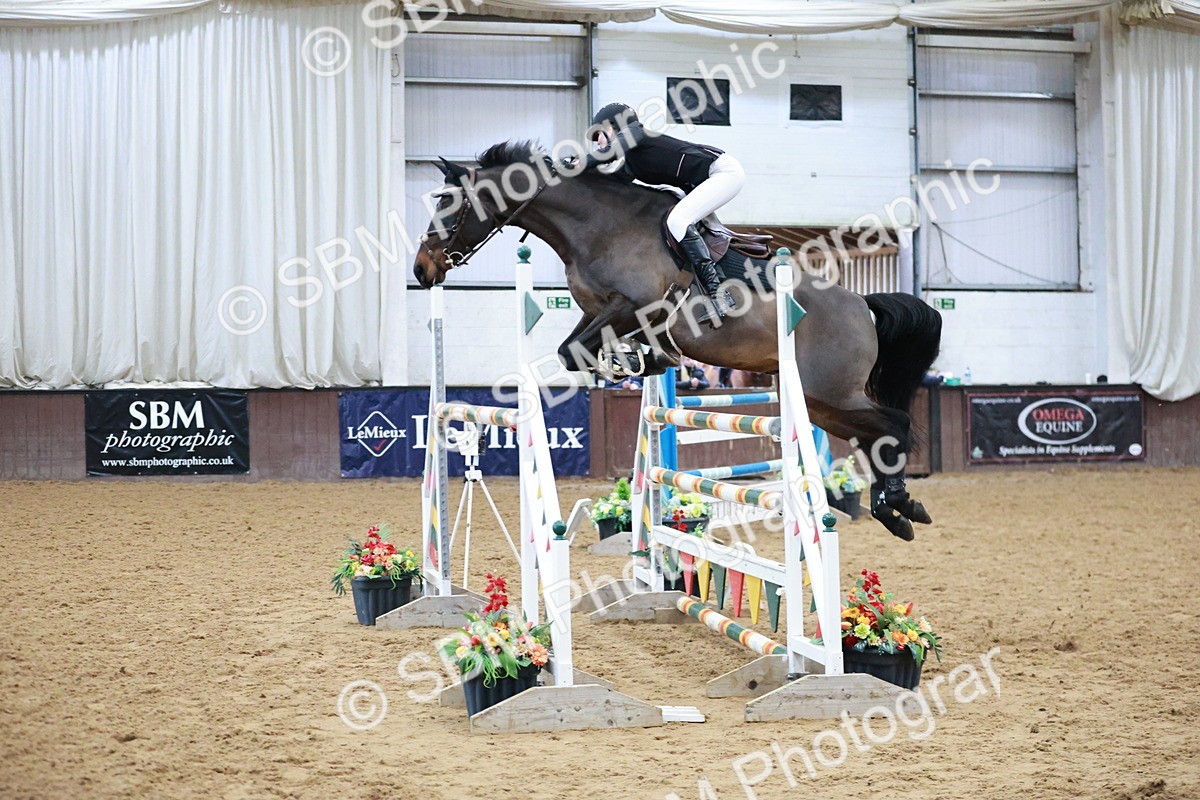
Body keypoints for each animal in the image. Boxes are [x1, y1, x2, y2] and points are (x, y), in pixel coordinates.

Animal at [412, 141, 942, 542]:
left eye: (450, 205)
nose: (421, 270)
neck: (597, 227)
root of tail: (862, 306)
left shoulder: (633, 305)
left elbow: (579, 350)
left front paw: (630, 362)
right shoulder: (599, 313)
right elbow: (576, 350)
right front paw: (637, 361)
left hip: (828, 390)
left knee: (891, 423)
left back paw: (898, 506)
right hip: (821, 401)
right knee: (873, 435)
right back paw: (896, 509)